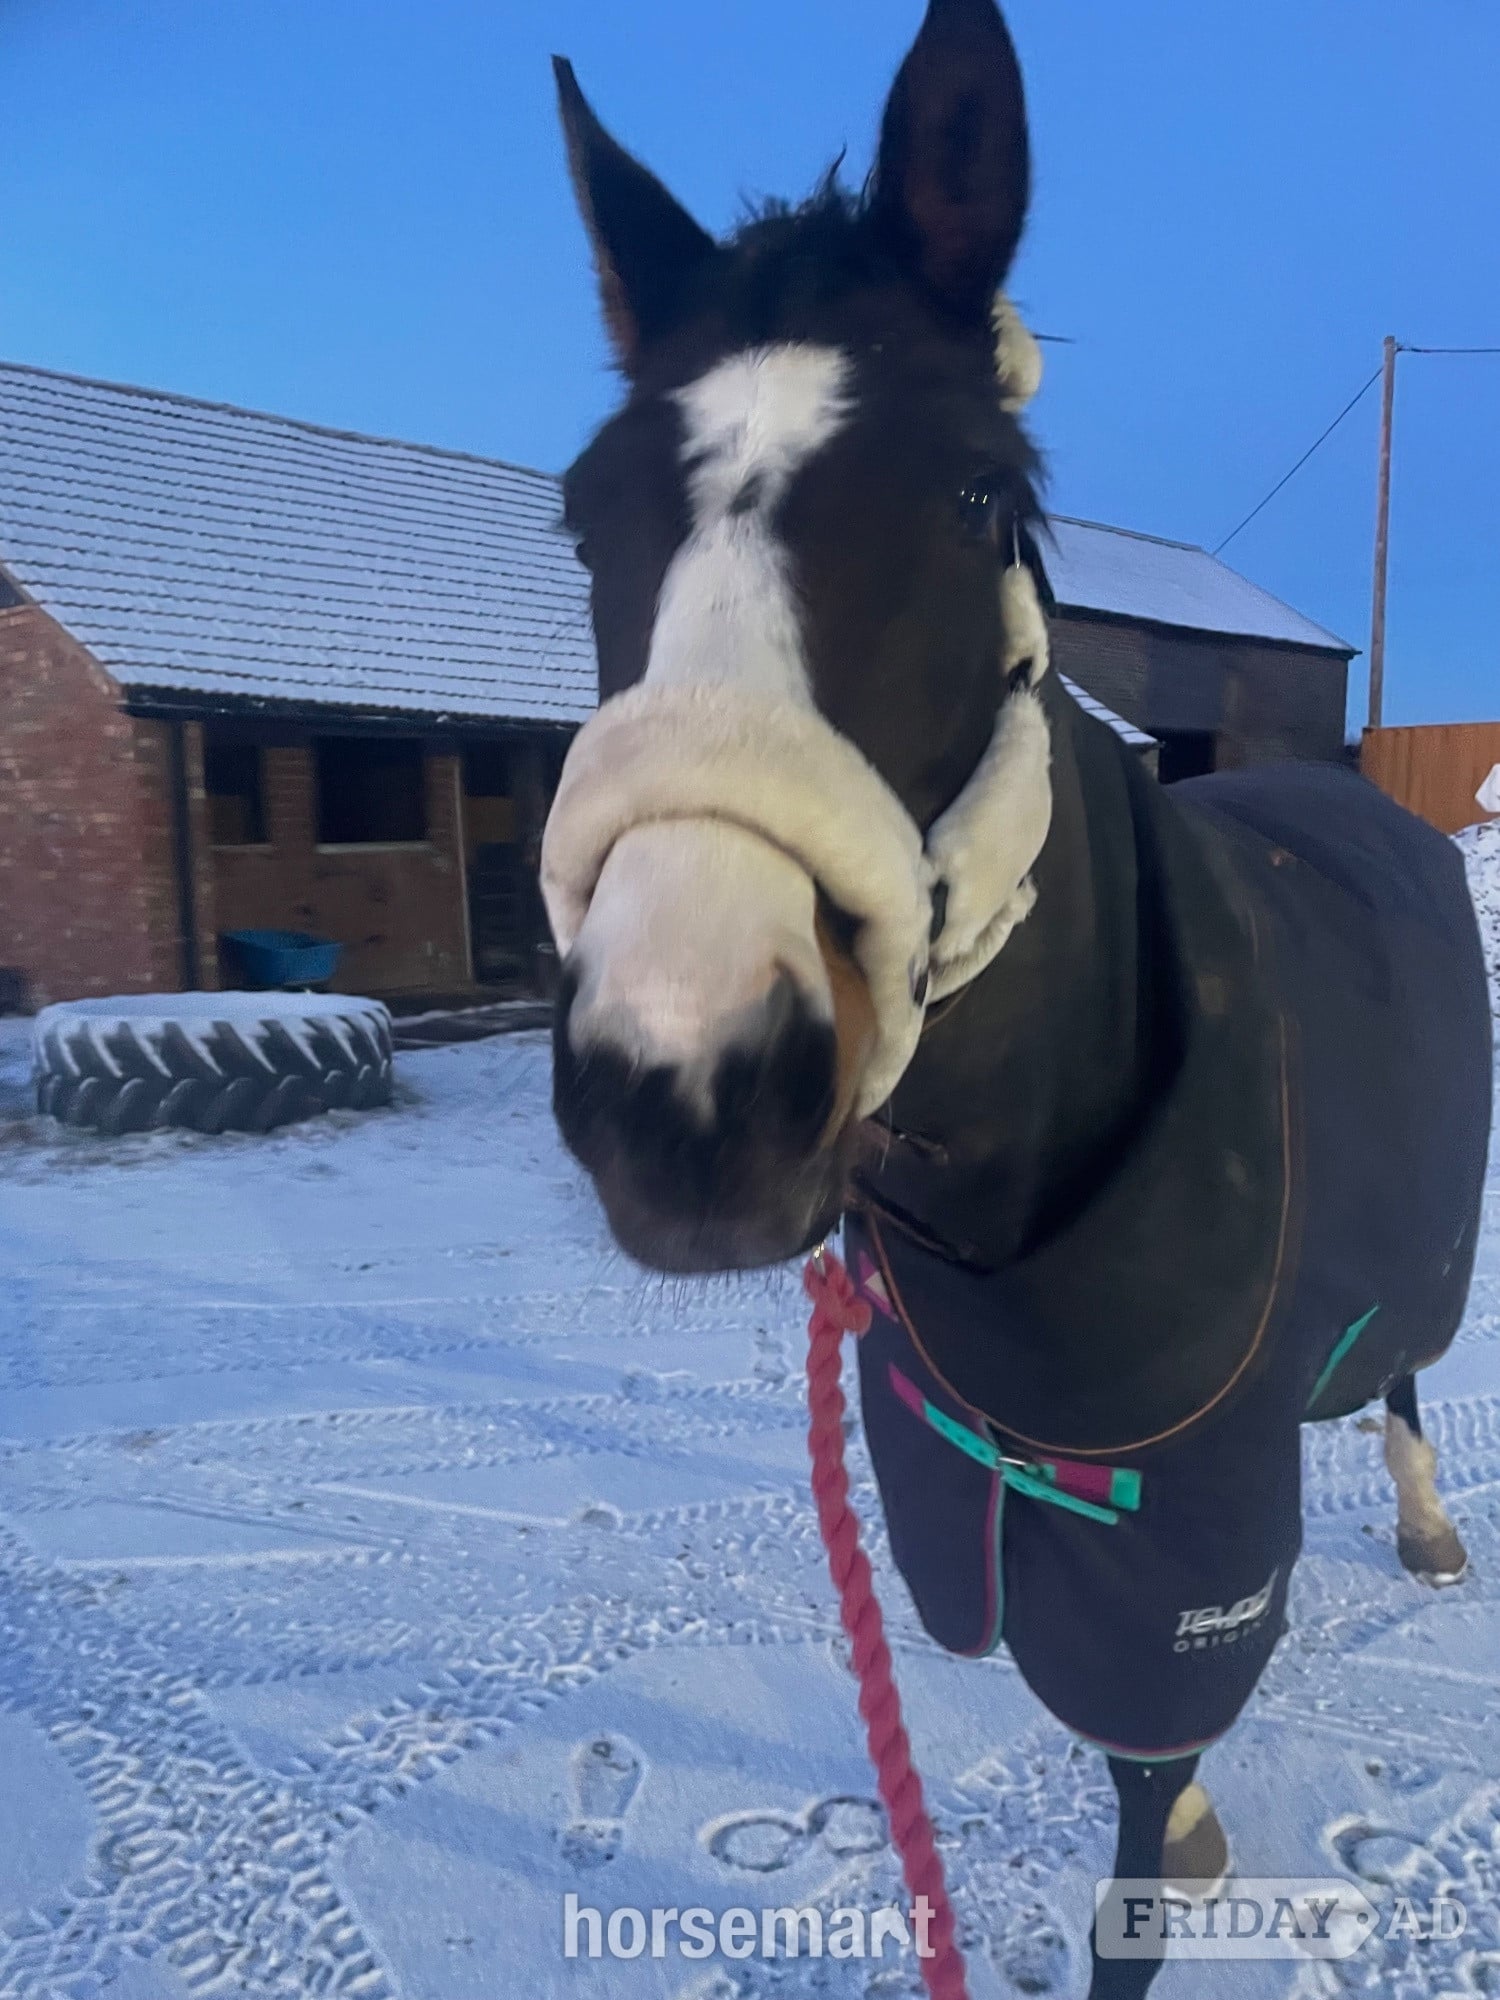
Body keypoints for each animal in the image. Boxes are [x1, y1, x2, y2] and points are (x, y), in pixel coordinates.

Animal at [538, 2, 1494, 1991]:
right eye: (586, 520)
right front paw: (1197, 1835)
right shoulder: (975, 1490)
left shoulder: (1186, 1546)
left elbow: (1136, 1821)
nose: (683, 1082)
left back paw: (1433, 1524)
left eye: (979, 493)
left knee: (1406, 1368)